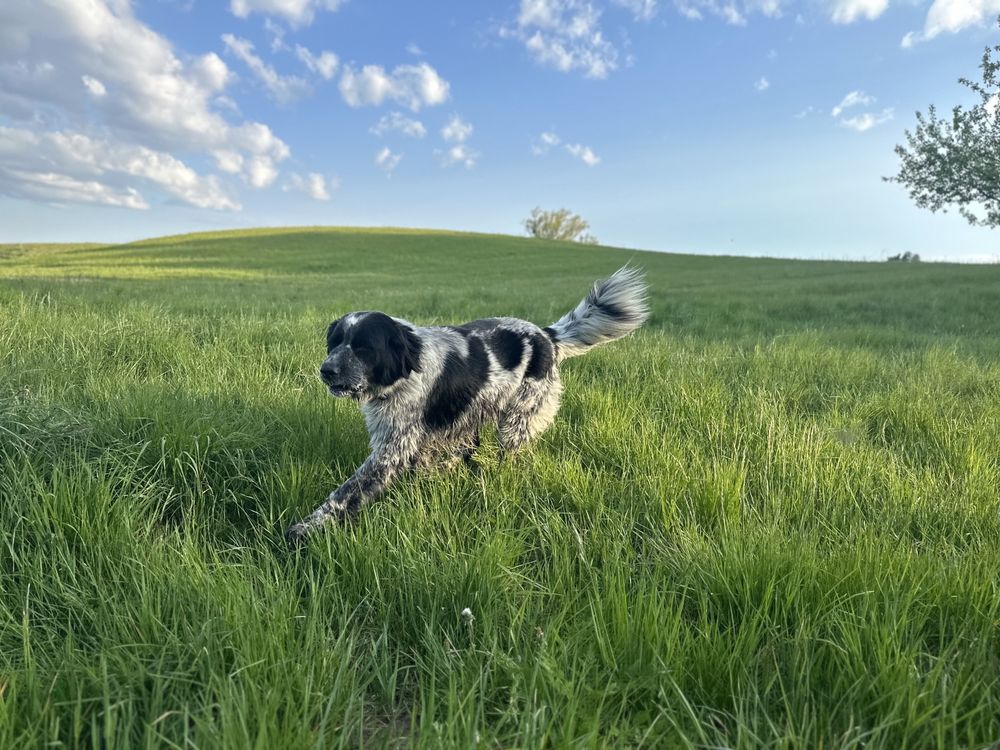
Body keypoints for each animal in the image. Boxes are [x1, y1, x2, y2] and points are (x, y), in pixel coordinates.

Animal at [288, 266, 648, 548]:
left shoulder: (392, 450)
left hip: (517, 421)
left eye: (364, 348)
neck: (408, 368)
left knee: (507, 457)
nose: (326, 370)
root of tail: (546, 335)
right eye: (334, 343)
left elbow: (345, 494)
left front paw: (306, 529)